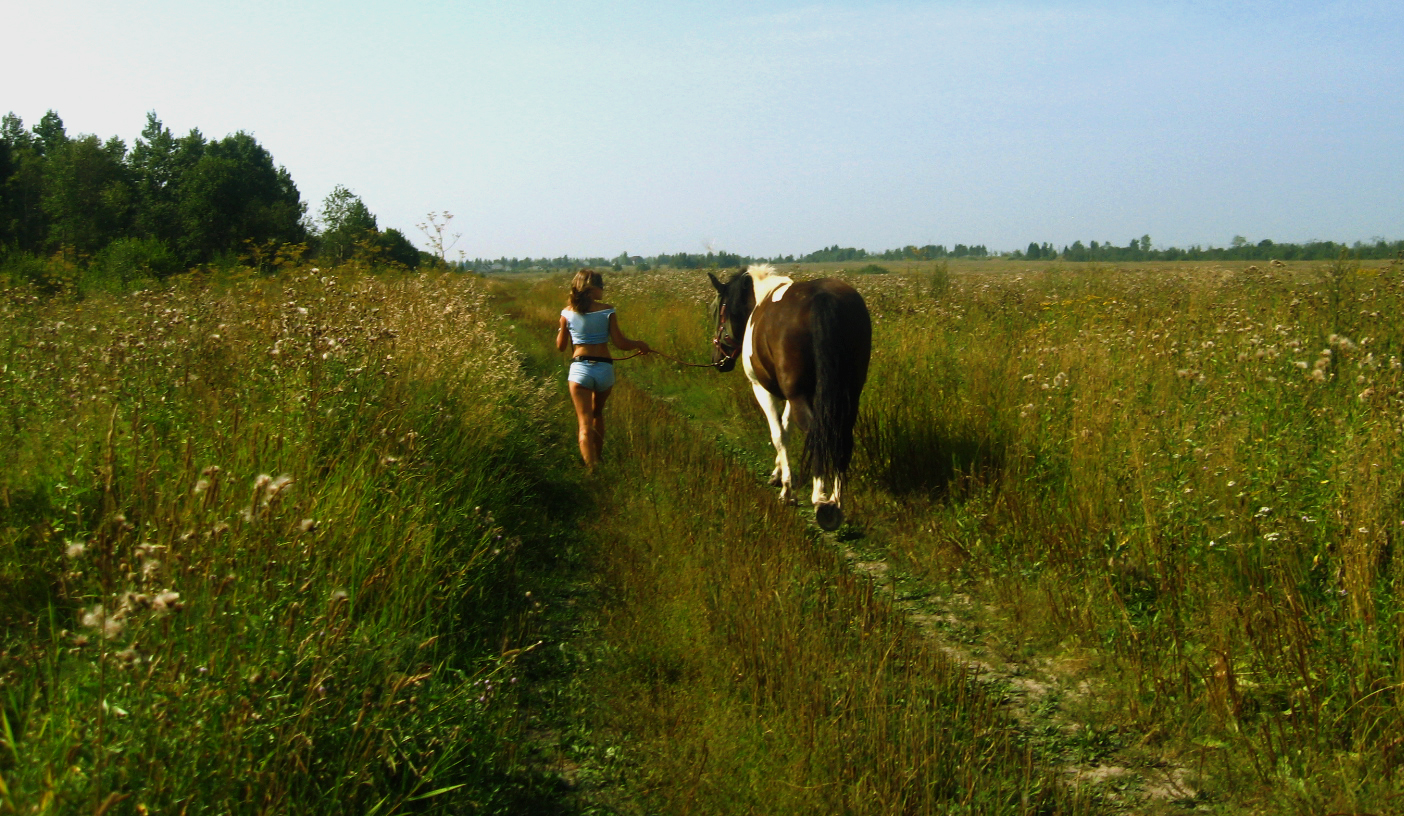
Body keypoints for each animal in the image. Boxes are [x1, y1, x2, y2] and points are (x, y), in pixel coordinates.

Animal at [707, 261, 870, 528]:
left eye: (718, 312)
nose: (718, 361)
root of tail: (824, 298)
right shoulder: (798, 396)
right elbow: (786, 427)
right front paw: (778, 474)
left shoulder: (764, 390)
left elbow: (778, 434)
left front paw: (787, 490)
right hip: (849, 393)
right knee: (840, 436)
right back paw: (836, 501)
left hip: (801, 395)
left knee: (818, 434)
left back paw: (821, 501)